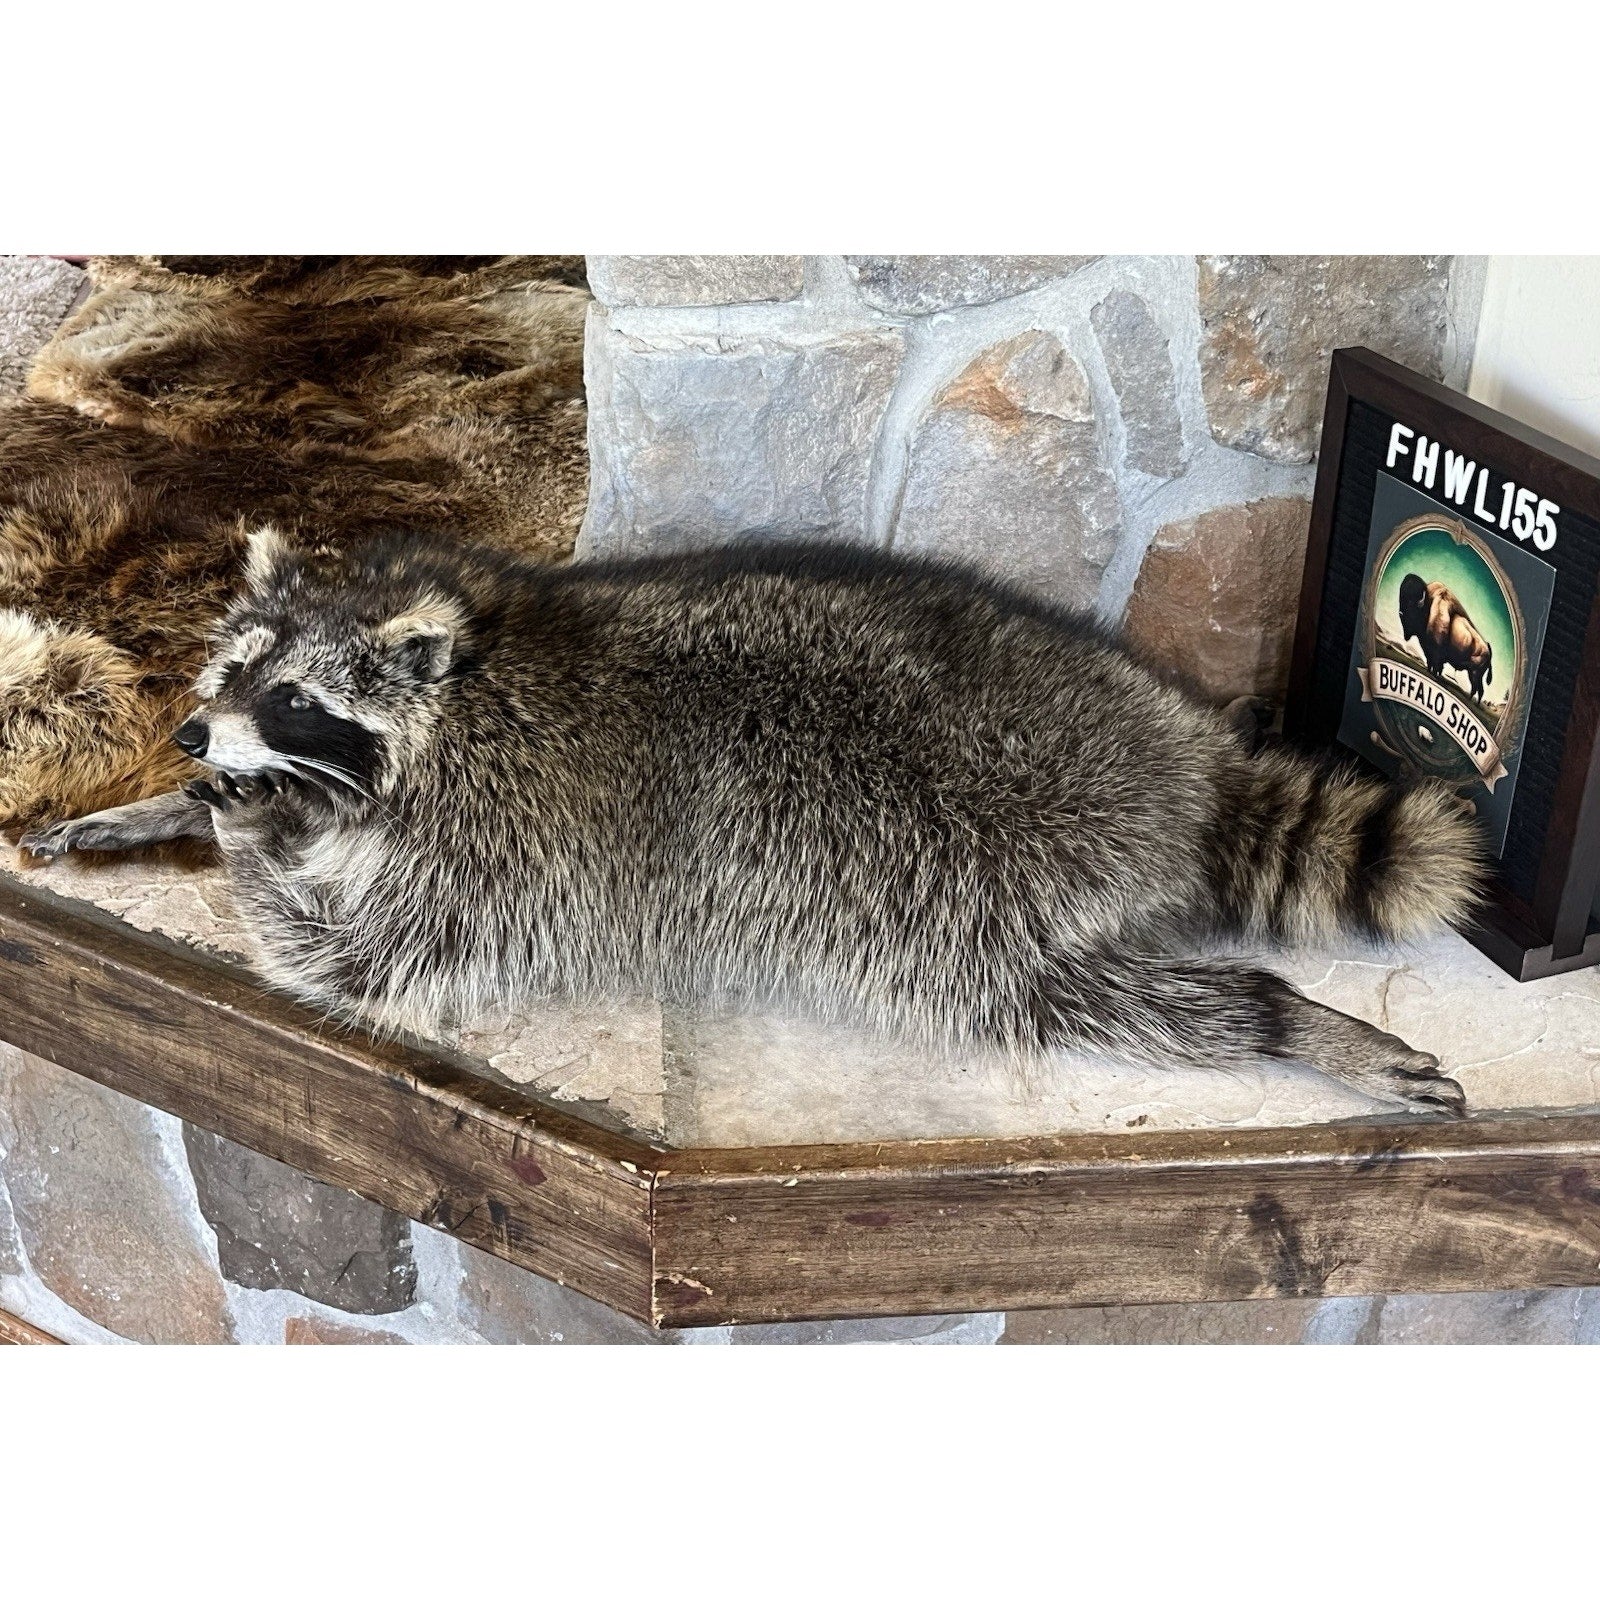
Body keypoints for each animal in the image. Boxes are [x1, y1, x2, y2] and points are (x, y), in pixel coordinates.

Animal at [22, 527, 1487, 1115]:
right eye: (230, 670)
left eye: (293, 696)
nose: (193, 740)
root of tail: (1167, 750)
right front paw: (169, 807)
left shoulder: (495, 851)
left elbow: (355, 959)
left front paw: (246, 837)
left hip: (972, 881)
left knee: (1088, 996)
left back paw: (1285, 1018)